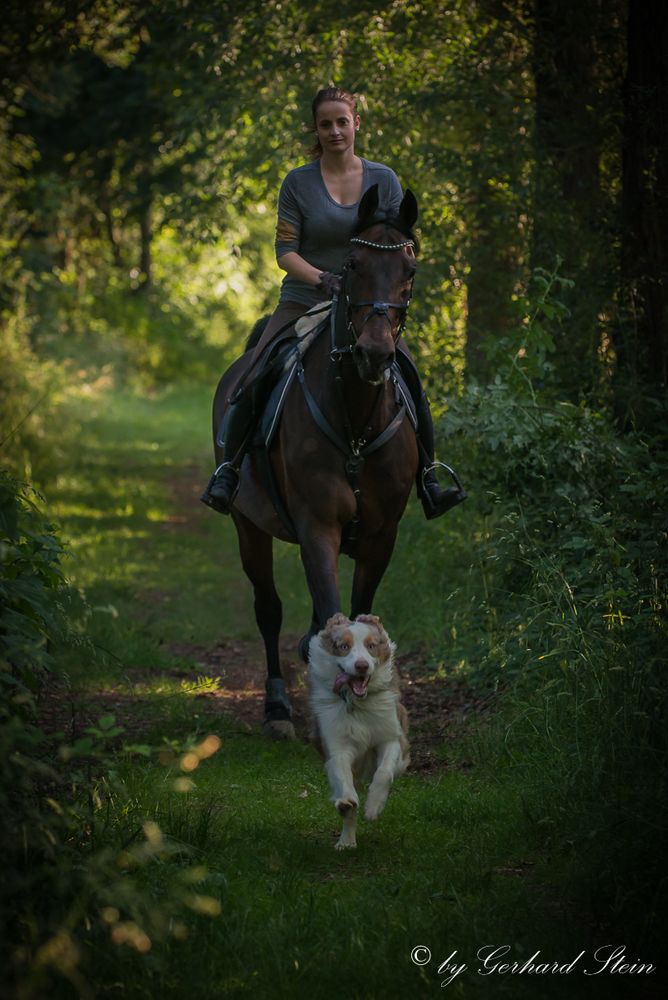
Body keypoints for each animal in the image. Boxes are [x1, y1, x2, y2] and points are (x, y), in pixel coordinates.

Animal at [214, 186, 420, 736]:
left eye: (410, 269)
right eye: (352, 264)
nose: (374, 352)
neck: (356, 421)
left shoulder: (382, 535)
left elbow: (359, 615)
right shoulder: (317, 528)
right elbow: (329, 613)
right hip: (246, 525)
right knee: (268, 609)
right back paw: (278, 709)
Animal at [306, 612, 408, 848]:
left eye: (371, 646)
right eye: (344, 646)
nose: (361, 666)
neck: (357, 702)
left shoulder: (391, 737)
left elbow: (384, 771)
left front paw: (373, 807)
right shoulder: (336, 745)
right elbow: (341, 772)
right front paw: (346, 800)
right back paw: (347, 841)